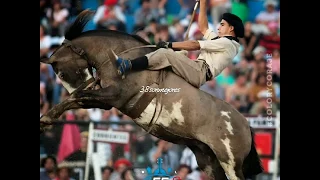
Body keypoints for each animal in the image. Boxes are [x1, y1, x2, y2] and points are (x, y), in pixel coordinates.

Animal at [40, 10, 262, 180]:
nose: (83, 83)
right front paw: (46, 119)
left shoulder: (113, 96)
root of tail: (246, 125)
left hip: (230, 163)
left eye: (61, 73)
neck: (121, 57)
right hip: (208, 160)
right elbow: (75, 99)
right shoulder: (105, 101)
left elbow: (79, 97)